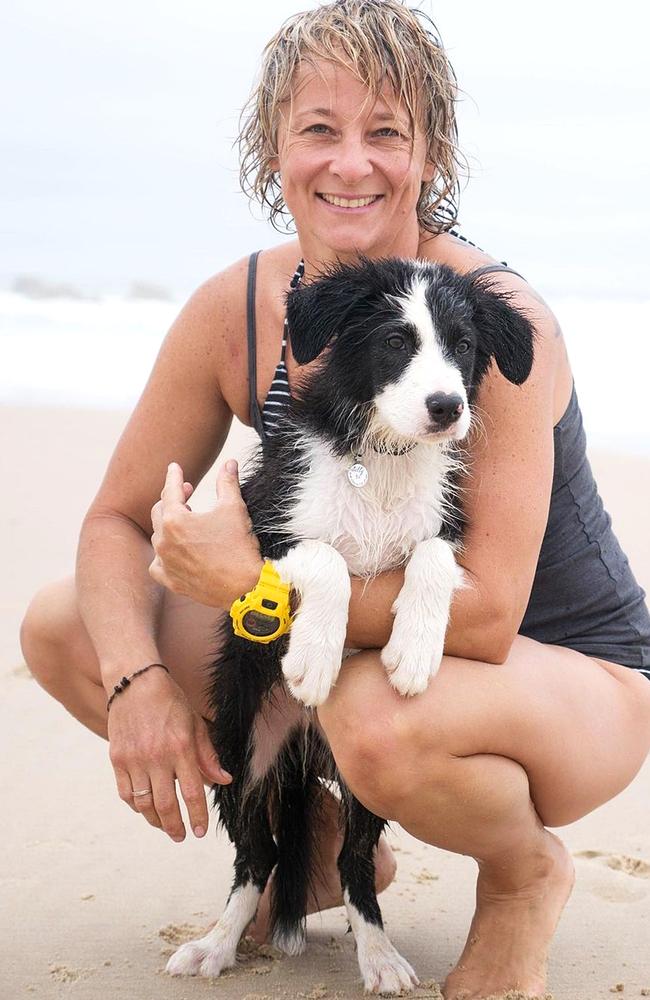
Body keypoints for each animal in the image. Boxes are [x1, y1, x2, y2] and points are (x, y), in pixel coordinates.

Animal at [166, 256, 532, 992]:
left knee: (353, 864)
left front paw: (413, 651)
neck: (384, 459)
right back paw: (215, 946)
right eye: (394, 341)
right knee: (256, 858)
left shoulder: (445, 523)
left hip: (363, 783)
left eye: (464, 346)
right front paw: (314, 657)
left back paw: (380, 958)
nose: (447, 407)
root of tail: (304, 746)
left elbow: (429, 556)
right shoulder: (265, 525)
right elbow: (330, 556)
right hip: (239, 746)